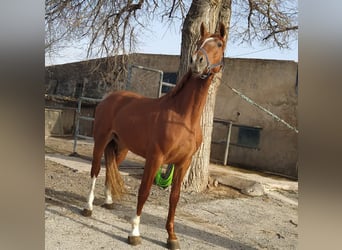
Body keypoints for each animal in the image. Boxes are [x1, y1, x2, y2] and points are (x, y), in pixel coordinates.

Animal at [81, 22, 227, 249]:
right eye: (200, 42)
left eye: (219, 44)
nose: (197, 61)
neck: (183, 117)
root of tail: (109, 98)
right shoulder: (155, 158)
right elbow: (144, 191)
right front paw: (134, 232)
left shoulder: (183, 162)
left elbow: (174, 197)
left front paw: (172, 237)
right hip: (101, 141)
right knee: (95, 170)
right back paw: (88, 207)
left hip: (121, 147)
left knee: (109, 168)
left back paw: (108, 201)